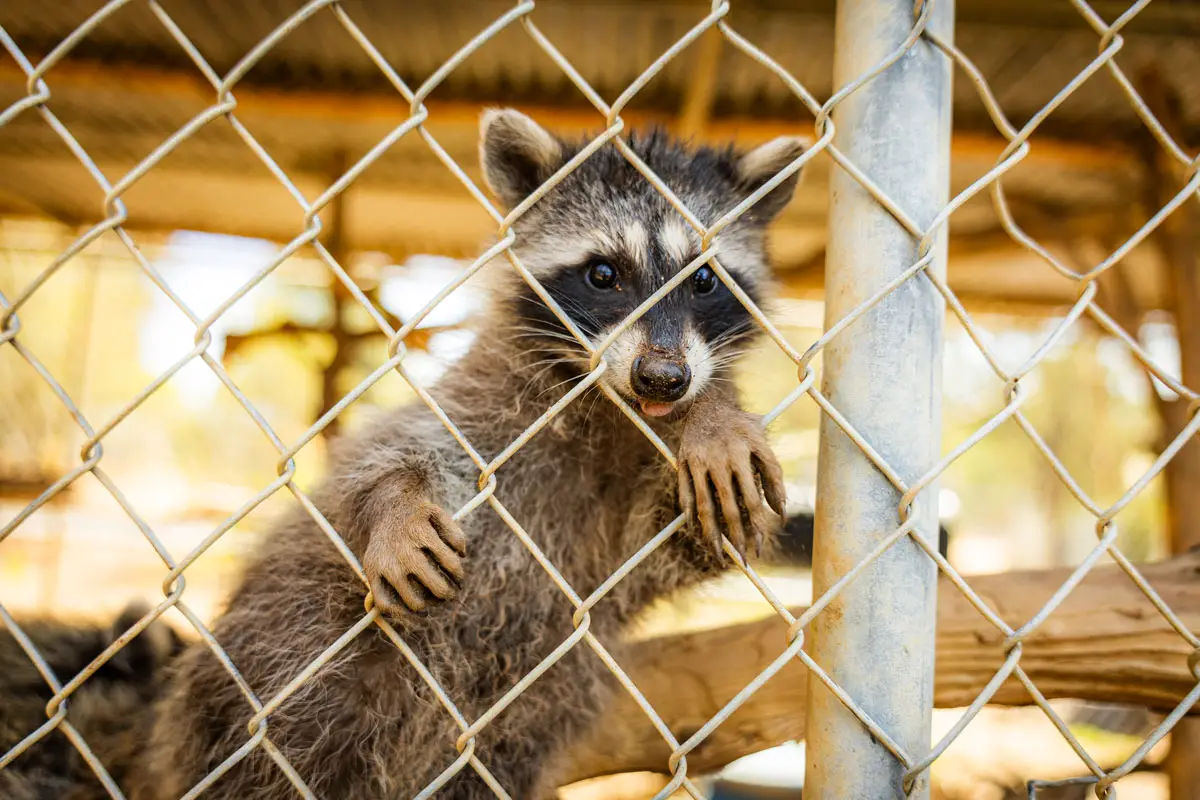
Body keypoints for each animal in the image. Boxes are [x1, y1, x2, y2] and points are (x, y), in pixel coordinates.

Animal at [125, 110, 807, 800]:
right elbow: (377, 453)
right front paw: (393, 500)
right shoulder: (486, 403)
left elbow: (690, 544)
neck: (612, 408)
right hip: (277, 666)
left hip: (513, 733)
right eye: (603, 274)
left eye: (704, 280)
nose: (663, 379)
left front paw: (712, 417)